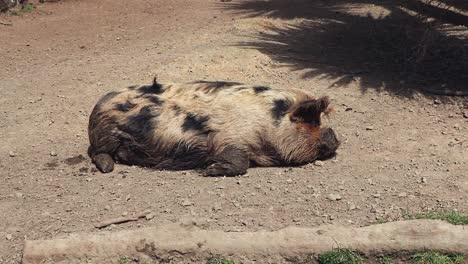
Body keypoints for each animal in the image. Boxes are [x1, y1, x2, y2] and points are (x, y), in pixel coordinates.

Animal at [88, 77, 340, 176]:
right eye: (311, 120)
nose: (336, 139)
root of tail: (97, 106)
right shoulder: (227, 139)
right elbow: (240, 161)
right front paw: (208, 170)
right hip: (106, 134)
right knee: (97, 152)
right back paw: (108, 167)